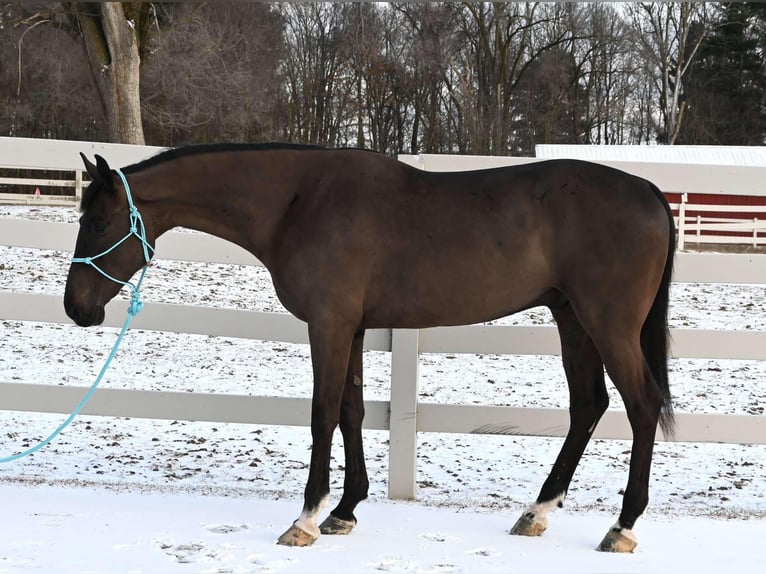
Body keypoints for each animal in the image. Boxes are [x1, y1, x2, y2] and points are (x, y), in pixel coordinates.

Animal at [66, 143, 680, 552]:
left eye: (97, 224)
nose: (77, 307)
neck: (298, 202)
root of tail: (651, 192)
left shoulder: (329, 325)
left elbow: (322, 414)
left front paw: (305, 519)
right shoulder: (354, 328)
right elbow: (352, 410)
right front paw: (344, 510)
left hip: (608, 324)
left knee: (641, 404)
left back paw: (622, 526)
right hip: (572, 319)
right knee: (589, 405)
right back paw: (537, 512)